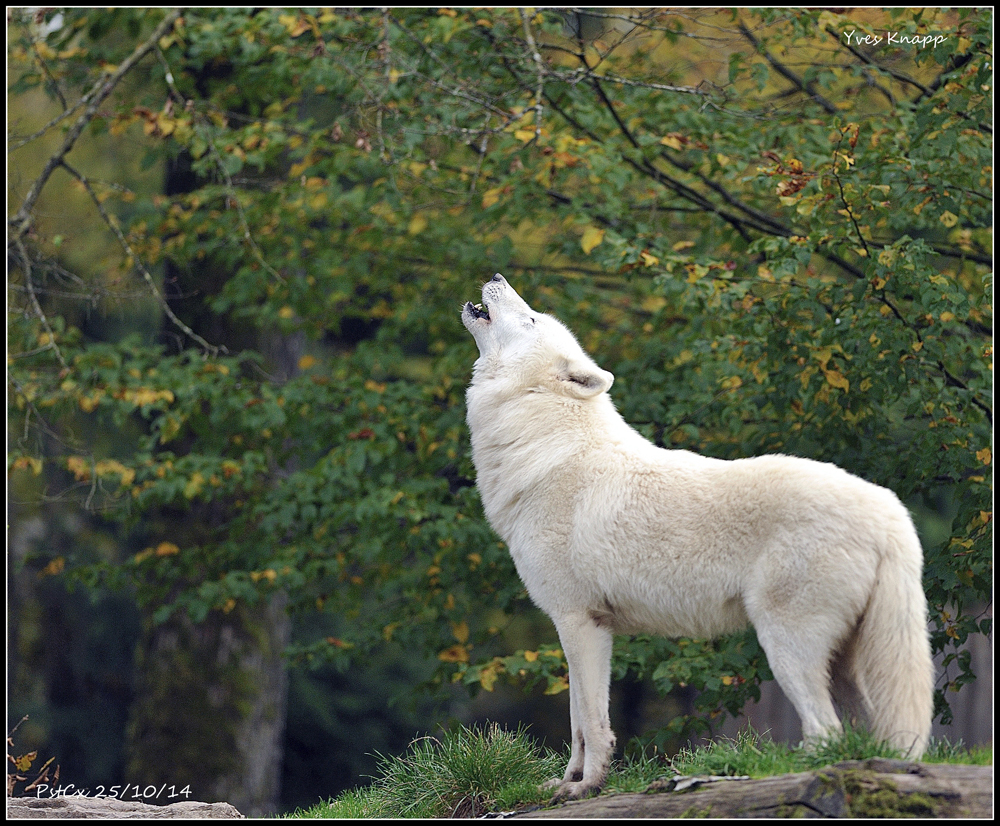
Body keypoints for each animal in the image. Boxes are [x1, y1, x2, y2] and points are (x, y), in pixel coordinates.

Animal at [461, 274, 934, 801]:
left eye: (530, 319)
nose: (498, 277)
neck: (547, 446)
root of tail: (891, 514)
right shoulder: (579, 627)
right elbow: (578, 723)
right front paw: (564, 784)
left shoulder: (579, 621)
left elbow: (592, 724)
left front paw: (588, 788)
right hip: (846, 661)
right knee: (867, 735)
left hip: (786, 647)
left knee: (825, 731)